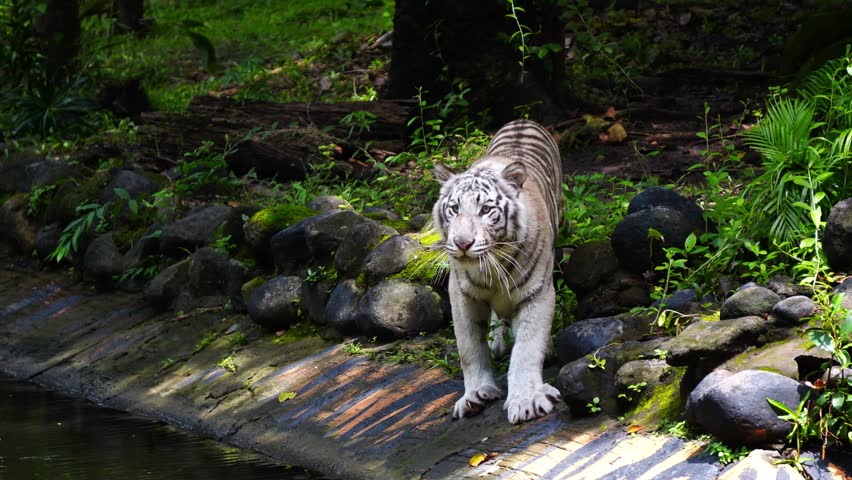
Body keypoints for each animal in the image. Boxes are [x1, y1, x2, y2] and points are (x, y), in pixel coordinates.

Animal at [432, 119, 563, 424]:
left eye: (485, 210)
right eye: (453, 209)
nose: (462, 243)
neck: (491, 268)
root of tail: (522, 120)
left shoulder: (537, 294)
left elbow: (527, 348)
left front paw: (526, 400)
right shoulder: (462, 296)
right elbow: (469, 348)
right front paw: (475, 395)